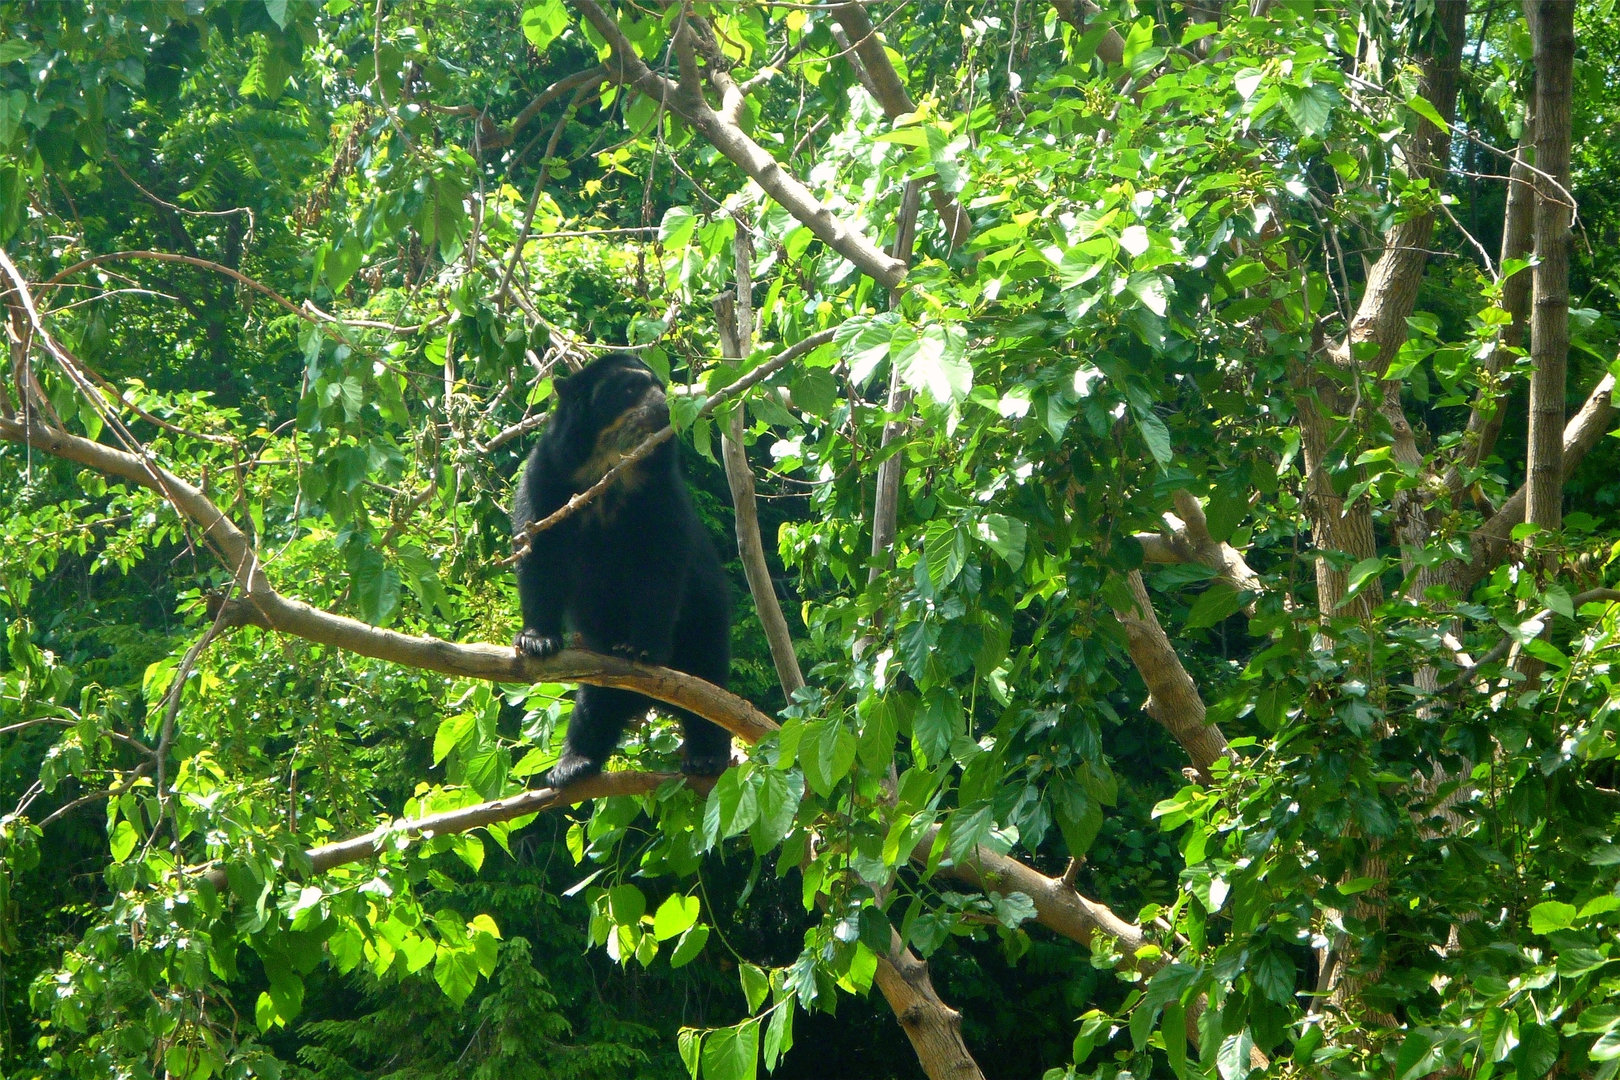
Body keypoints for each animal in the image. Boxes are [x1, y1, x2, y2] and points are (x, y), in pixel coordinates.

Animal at [510, 351, 732, 790]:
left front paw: (642, 648)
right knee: (595, 703)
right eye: (630, 388)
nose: (665, 406)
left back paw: (706, 756)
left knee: (710, 684)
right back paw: (573, 764)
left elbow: (659, 569)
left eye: (660, 386)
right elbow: (539, 556)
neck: (609, 467)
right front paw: (538, 641)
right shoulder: (547, 479)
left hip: (706, 623)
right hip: (600, 655)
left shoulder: (659, 495)